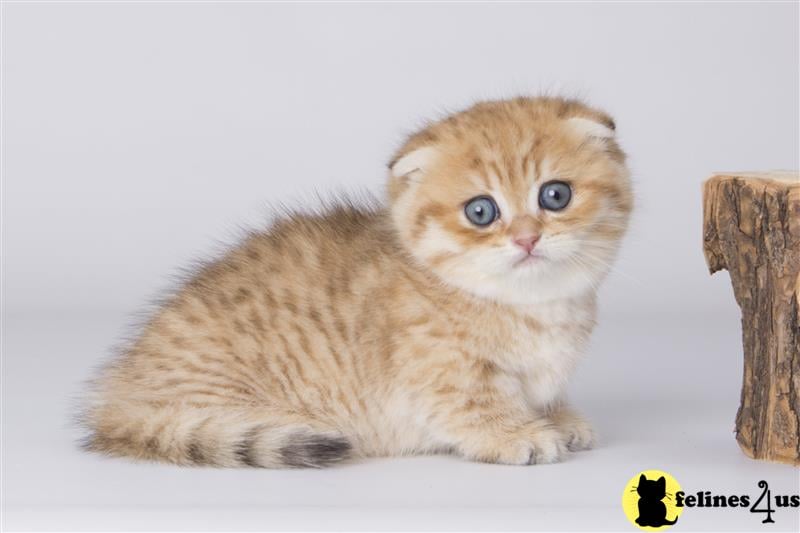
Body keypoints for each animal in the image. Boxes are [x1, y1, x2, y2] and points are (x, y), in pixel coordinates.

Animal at [81, 95, 632, 466]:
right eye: (481, 211)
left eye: (555, 195)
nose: (526, 239)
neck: (533, 307)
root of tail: (116, 400)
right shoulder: (437, 375)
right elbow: (474, 404)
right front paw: (519, 434)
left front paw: (558, 416)